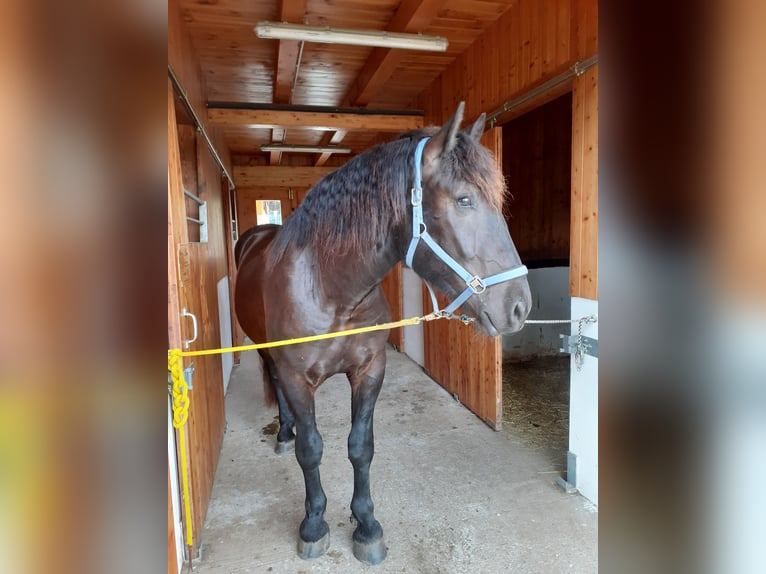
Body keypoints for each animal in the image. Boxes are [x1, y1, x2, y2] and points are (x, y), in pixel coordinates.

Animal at [236, 103, 536, 568]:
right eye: (464, 199)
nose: (520, 306)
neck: (331, 290)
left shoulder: (370, 370)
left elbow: (361, 447)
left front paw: (367, 527)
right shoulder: (297, 378)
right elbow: (312, 449)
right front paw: (314, 524)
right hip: (268, 355)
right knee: (277, 392)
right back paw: (284, 434)